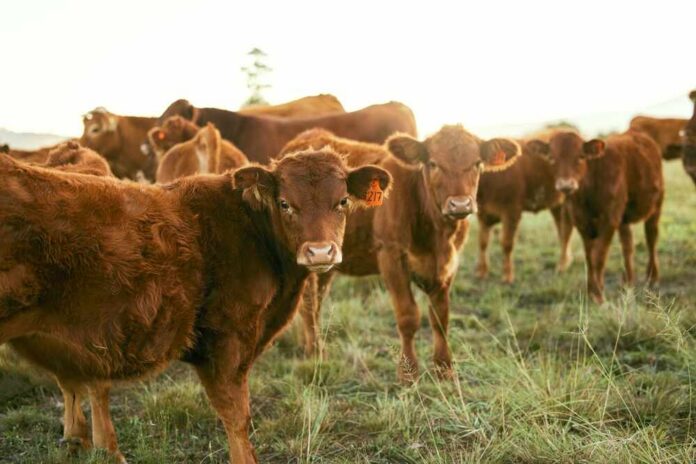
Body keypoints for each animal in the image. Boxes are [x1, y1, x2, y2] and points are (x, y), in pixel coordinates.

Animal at [279, 126, 520, 382]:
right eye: (433, 163)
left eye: (477, 163)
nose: (460, 204)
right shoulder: (391, 255)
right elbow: (408, 316)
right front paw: (408, 373)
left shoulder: (448, 265)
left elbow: (441, 317)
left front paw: (445, 369)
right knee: (308, 303)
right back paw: (315, 353)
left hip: (327, 261)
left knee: (316, 301)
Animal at [475, 133, 573, 283]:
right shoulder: (483, 214)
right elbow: (483, 242)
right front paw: (482, 272)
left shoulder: (512, 211)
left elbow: (507, 243)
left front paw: (507, 276)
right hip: (557, 205)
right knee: (563, 231)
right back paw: (565, 262)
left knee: (566, 232)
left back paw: (562, 265)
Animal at [526, 130, 663, 304]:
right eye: (551, 158)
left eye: (581, 156)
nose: (566, 185)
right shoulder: (581, 222)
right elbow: (589, 257)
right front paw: (592, 291)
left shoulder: (609, 221)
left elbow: (599, 256)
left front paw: (598, 295)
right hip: (623, 217)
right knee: (627, 245)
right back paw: (628, 282)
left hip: (656, 205)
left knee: (651, 238)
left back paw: (653, 278)